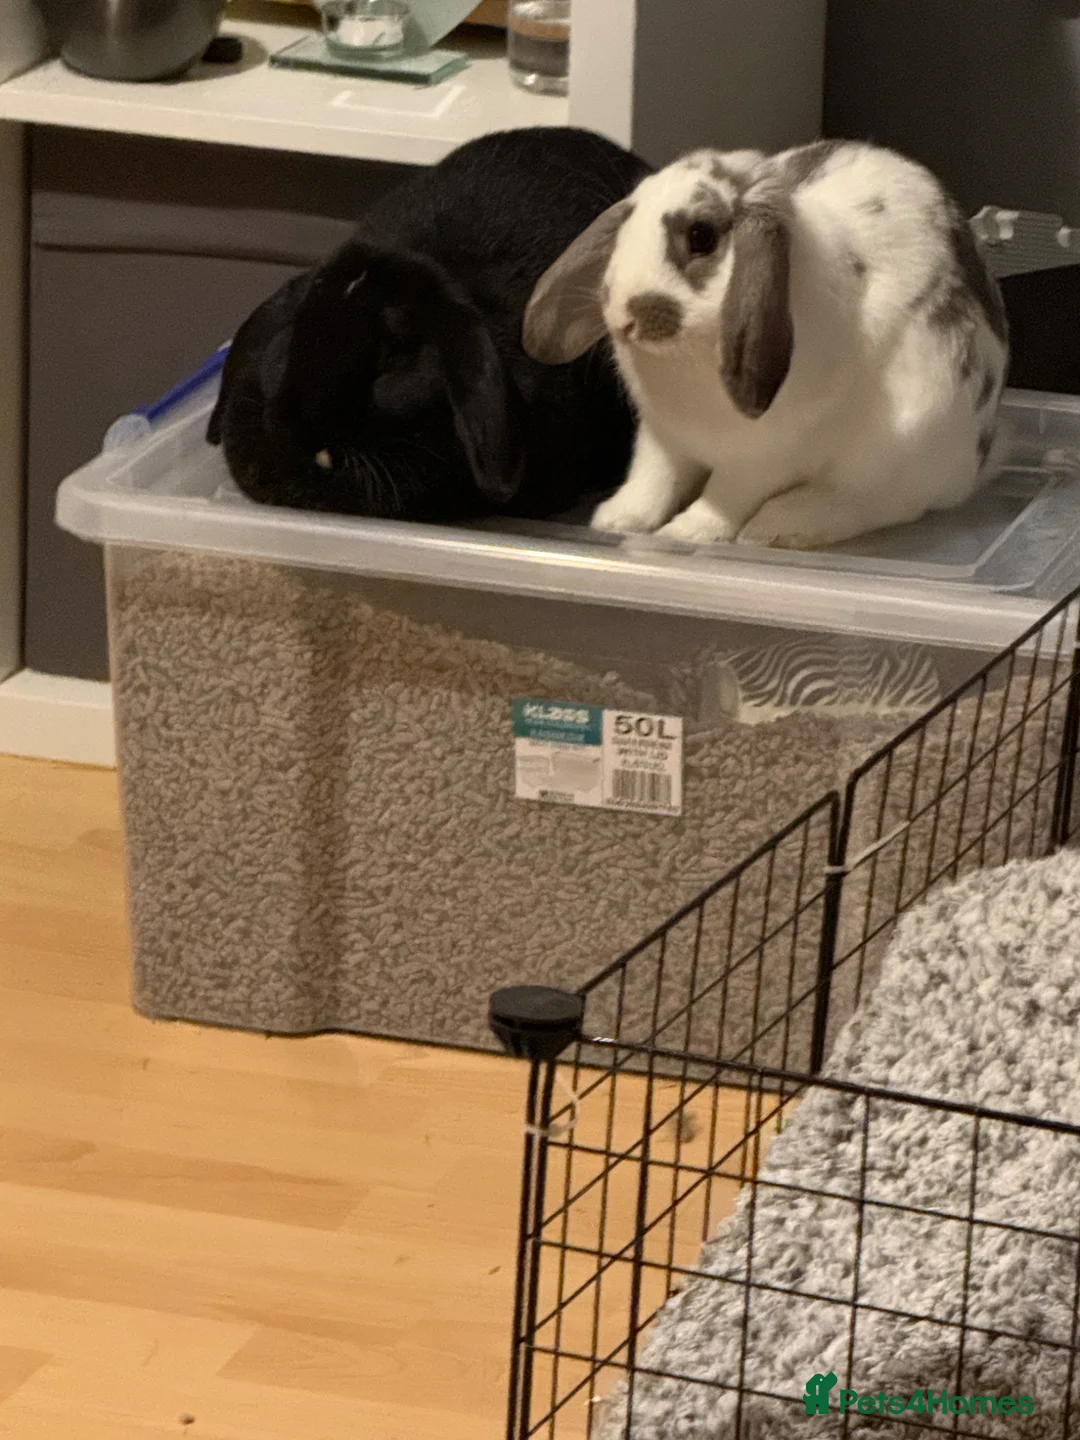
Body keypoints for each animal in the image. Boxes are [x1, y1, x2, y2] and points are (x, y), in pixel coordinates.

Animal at [522, 139, 1010, 551]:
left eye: (701, 236)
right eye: (626, 223)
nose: (623, 316)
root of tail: (976, 465)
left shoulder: (768, 454)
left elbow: (727, 495)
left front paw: (688, 532)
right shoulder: (662, 435)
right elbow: (653, 479)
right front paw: (616, 520)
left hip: (905, 440)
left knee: (878, 502)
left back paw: (778, 527)